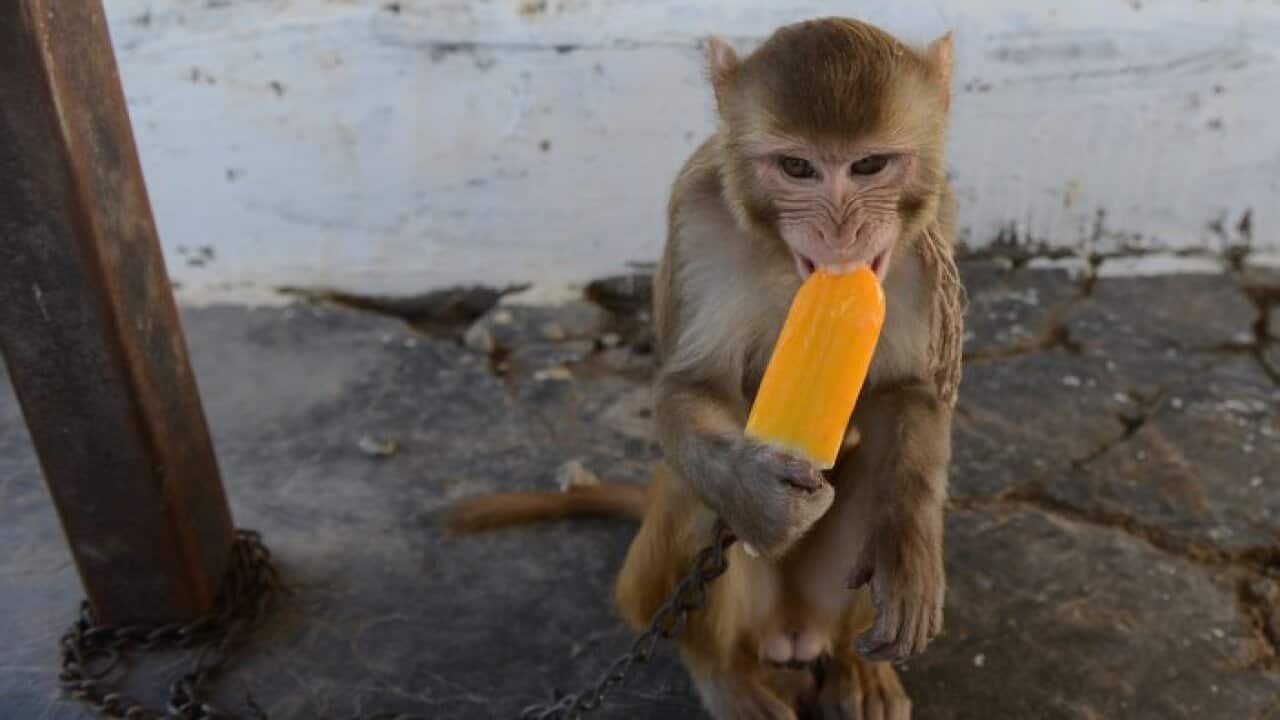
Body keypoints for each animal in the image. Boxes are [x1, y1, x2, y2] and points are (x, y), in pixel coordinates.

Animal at [446, 18, 964, 720]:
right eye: (798, 167)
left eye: (868, 165)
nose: (840, 236)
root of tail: (792, 631)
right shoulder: (696, 220)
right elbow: (690, 386)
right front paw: (755, 492)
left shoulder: (933, 231)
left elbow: (905, 393)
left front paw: (906, 550)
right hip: (675, 592)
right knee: (692, 502)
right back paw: (724, 673)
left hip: (818, 599)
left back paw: (856, 662)